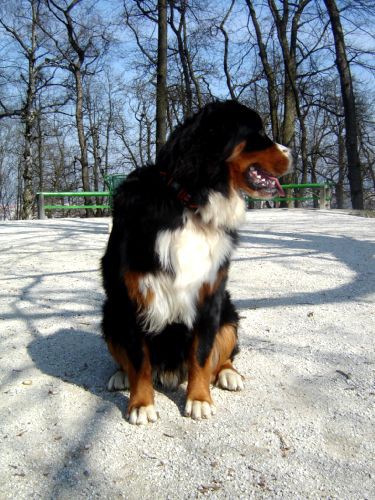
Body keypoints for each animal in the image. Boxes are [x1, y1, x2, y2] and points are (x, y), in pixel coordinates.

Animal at [101, 99, 292, 424]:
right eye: (258, 132)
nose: (292, 152)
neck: (189, 203)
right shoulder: (131, 298)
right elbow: (139, 360)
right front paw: (141, 404)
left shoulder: (210, 295)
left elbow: (201, 355)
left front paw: (200, 399)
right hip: (110, 312)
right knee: (125, 357)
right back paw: (120, 375)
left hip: (228, 313)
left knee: (224, 353)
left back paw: (229, 374)